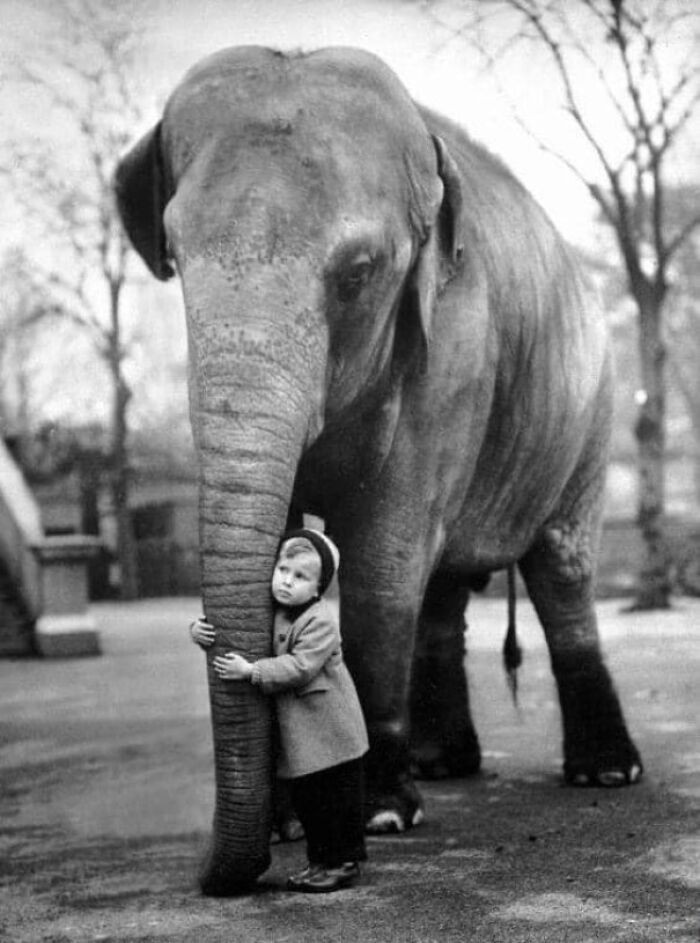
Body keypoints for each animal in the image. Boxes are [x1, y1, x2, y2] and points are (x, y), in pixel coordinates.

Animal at [113, 44, 640, 896]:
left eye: (358, 275)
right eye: (176, 257)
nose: (217, 874)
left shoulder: (455, 345)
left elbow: (384, 561)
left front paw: (380, 815)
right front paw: (299, 821)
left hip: (591, 408)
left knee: (560, 569)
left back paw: (605, 775)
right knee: (447, 586)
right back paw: (443, 764)